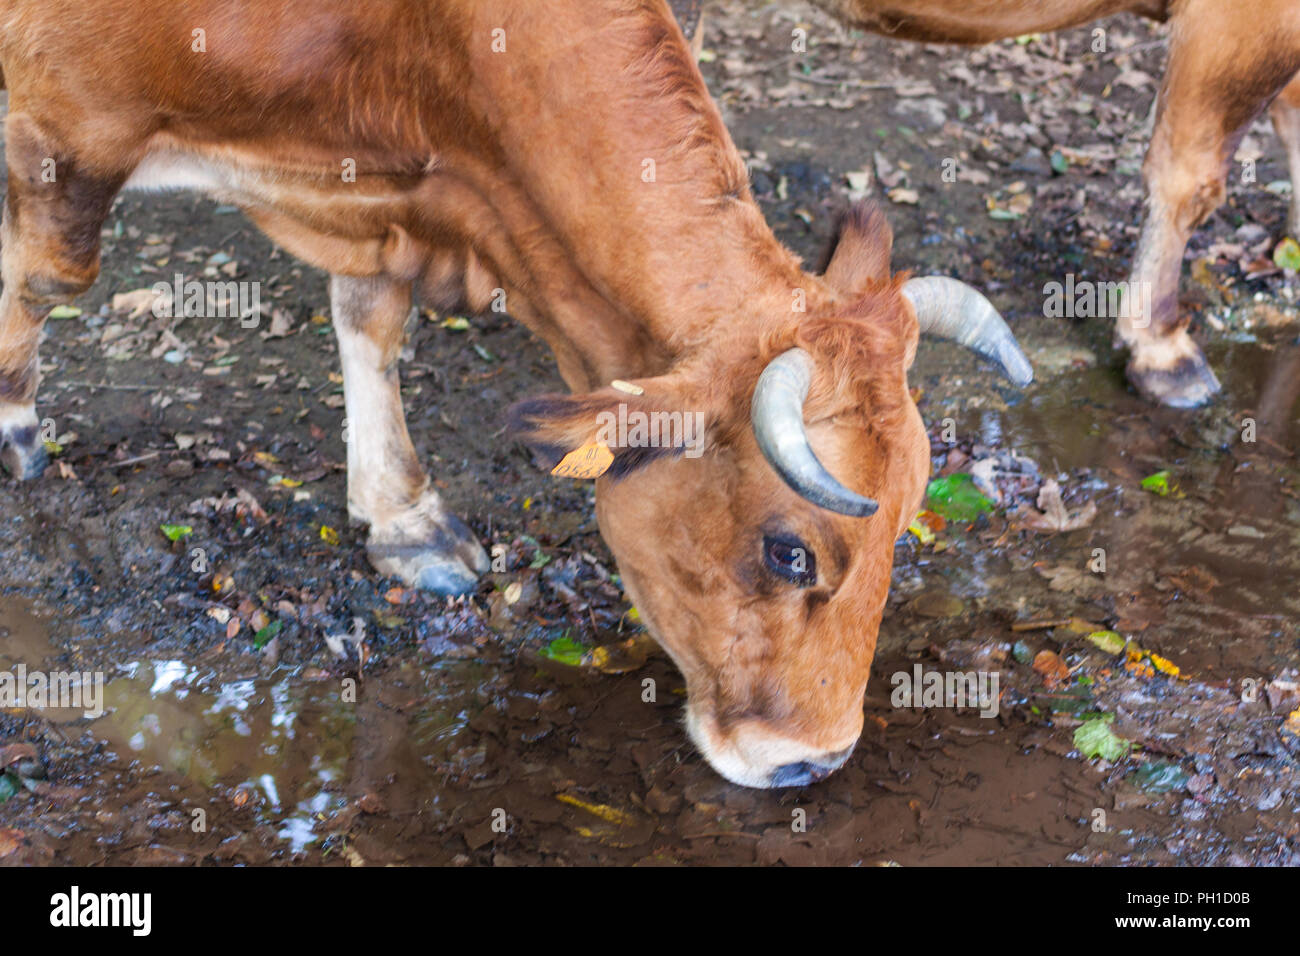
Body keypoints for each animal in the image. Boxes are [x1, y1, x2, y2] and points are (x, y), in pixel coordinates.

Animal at [0, 0, 1029, 790]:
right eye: (789, 552)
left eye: (907, 522)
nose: (814, 762)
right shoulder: (66, 116)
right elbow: (48, 275)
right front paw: (12, 419)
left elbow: (372, 315)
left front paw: (404, 517)